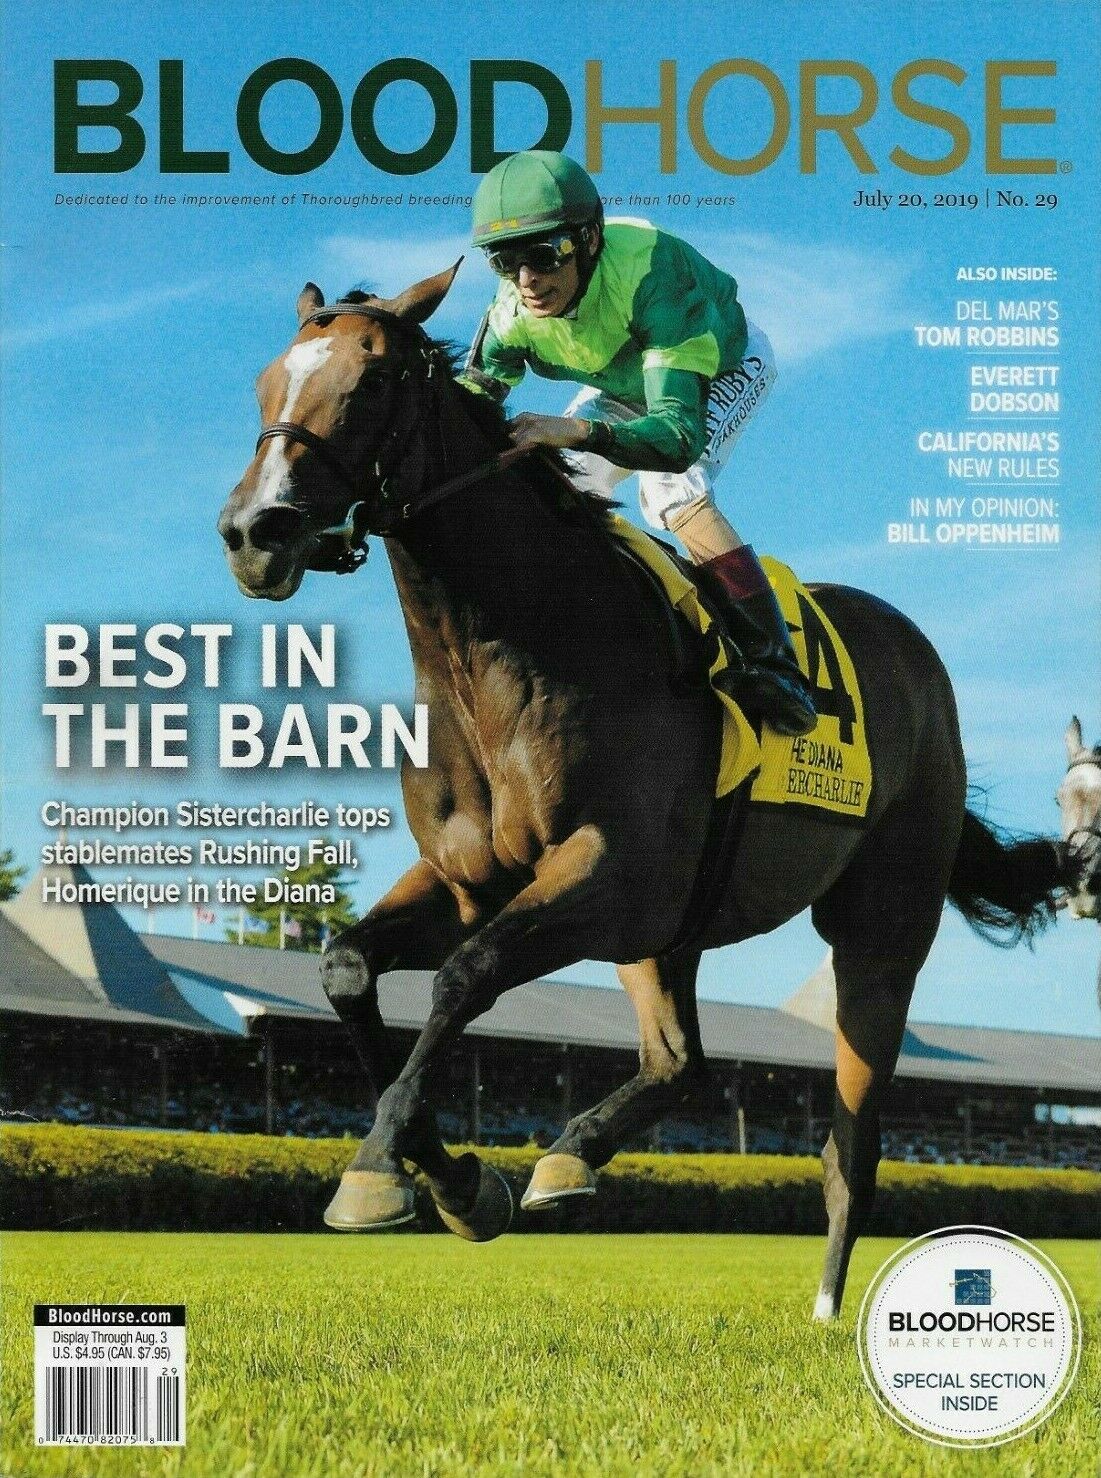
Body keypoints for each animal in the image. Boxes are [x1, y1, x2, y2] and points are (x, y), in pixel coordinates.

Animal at [217, 265, 1071, 1319]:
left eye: (372, 381)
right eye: (265, 382)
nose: (255, 532)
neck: (507, 651)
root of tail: (917, 658)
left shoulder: (608, 876)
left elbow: (464, 977)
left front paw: (387, 1168)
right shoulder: (469, 882)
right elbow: (345, 968)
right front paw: (453, 1180)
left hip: (876, 930)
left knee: (849, 1142)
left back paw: (829, 1307)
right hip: (668, 933)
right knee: (678, 1061)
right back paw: (568, 1157)